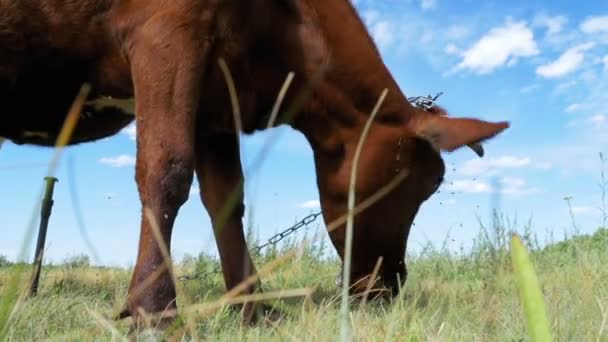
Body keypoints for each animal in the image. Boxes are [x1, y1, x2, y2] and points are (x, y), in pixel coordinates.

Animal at [0, 0, 508, 326]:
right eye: (422, 183)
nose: (392, 283)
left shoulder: (215, 101)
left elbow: (227, 200)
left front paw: (253, 308)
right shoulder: (166, 28)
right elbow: (167, 171)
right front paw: (155, 310)